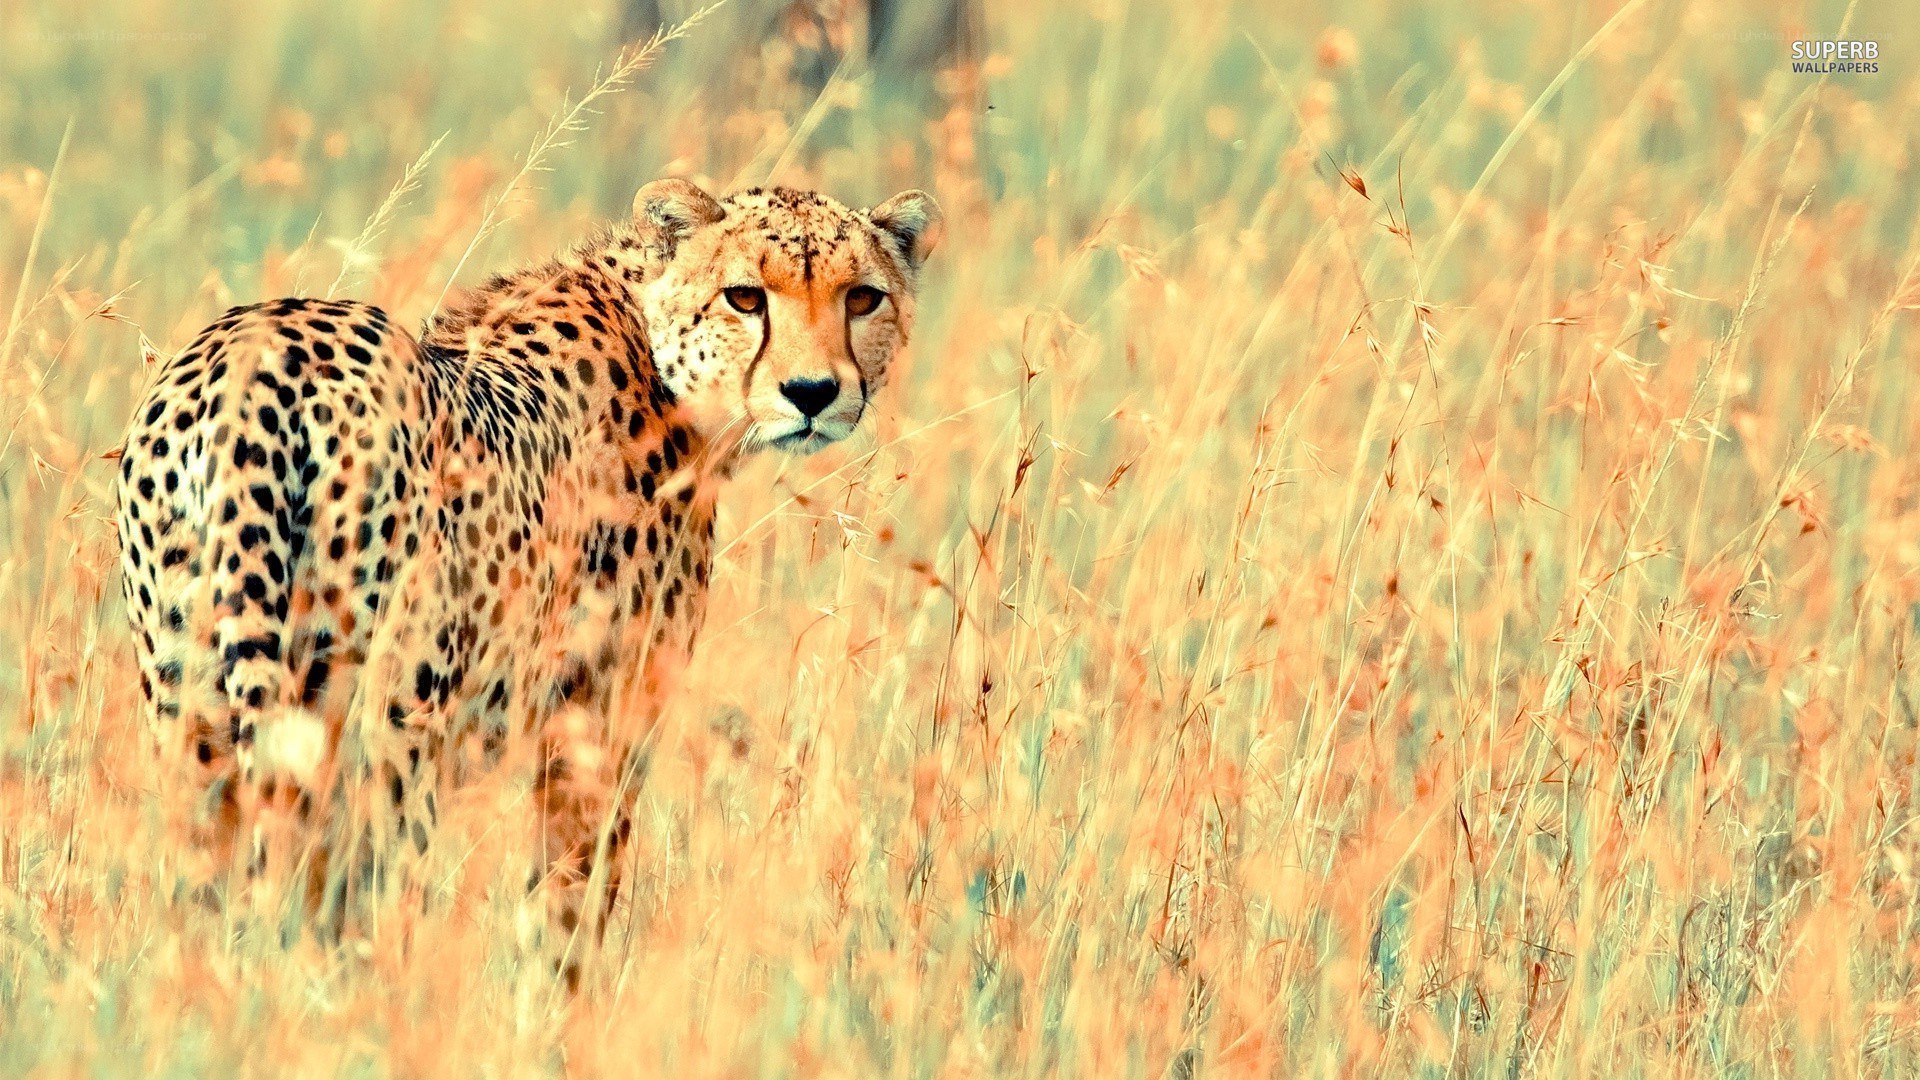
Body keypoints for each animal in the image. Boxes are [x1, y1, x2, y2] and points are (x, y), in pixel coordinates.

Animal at [114, 180, 941, 958]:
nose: (813, 394)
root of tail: (249, 356)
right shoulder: (597, 728)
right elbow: (569, 916)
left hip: (190, 706)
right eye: (745, 296)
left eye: (862, 298)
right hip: (388, 721)